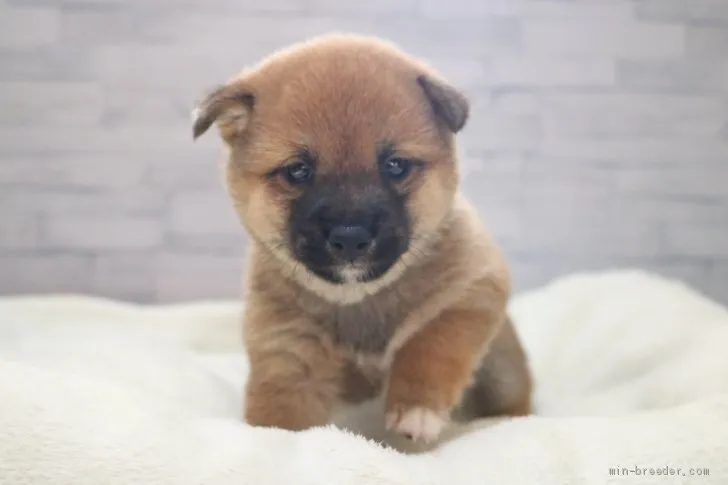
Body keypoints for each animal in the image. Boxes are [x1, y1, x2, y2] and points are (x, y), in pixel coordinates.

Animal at [191, 33, 532, 442]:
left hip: (504, 374)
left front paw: (416, 409)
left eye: (395, 166)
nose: (351, 238)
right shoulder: (287, 347)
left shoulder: (472, 287)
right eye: (297, 171)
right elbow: (282, 409)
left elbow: (431, 342)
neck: (359, 300)